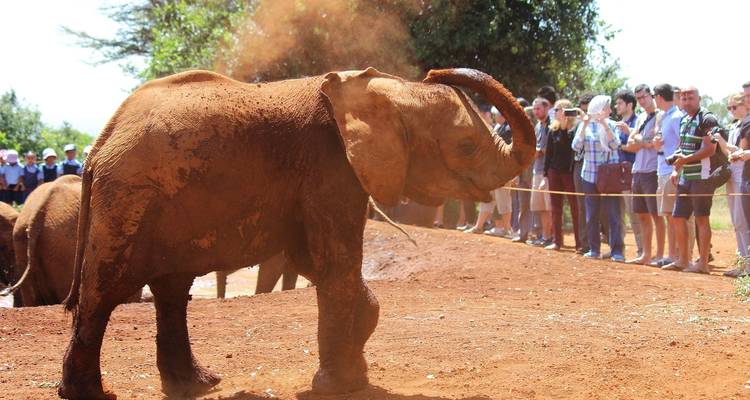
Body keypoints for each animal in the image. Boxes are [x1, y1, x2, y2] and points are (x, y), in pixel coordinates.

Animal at [58, 67, 535, 399]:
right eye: (466, 147)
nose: (436, 71)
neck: (384, 90)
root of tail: (100, 143)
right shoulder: (329, 166)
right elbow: (335, 260)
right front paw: (339, 385)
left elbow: (316, 260)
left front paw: (356, 359)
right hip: (130, 198)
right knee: (105, 291)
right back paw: (94, 394)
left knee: (171, 291)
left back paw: (198, 385)